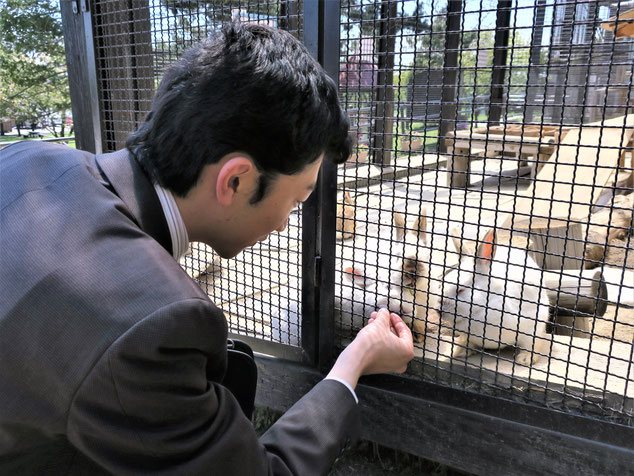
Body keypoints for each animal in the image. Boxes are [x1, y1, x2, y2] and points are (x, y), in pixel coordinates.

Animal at [440, 229, 548, 366]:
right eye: (442, 283)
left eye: (460, 290)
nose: (438, 309)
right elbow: (467, 342)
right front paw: (457, 351)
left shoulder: (532, 327)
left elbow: (531, 345)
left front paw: (525, 359)